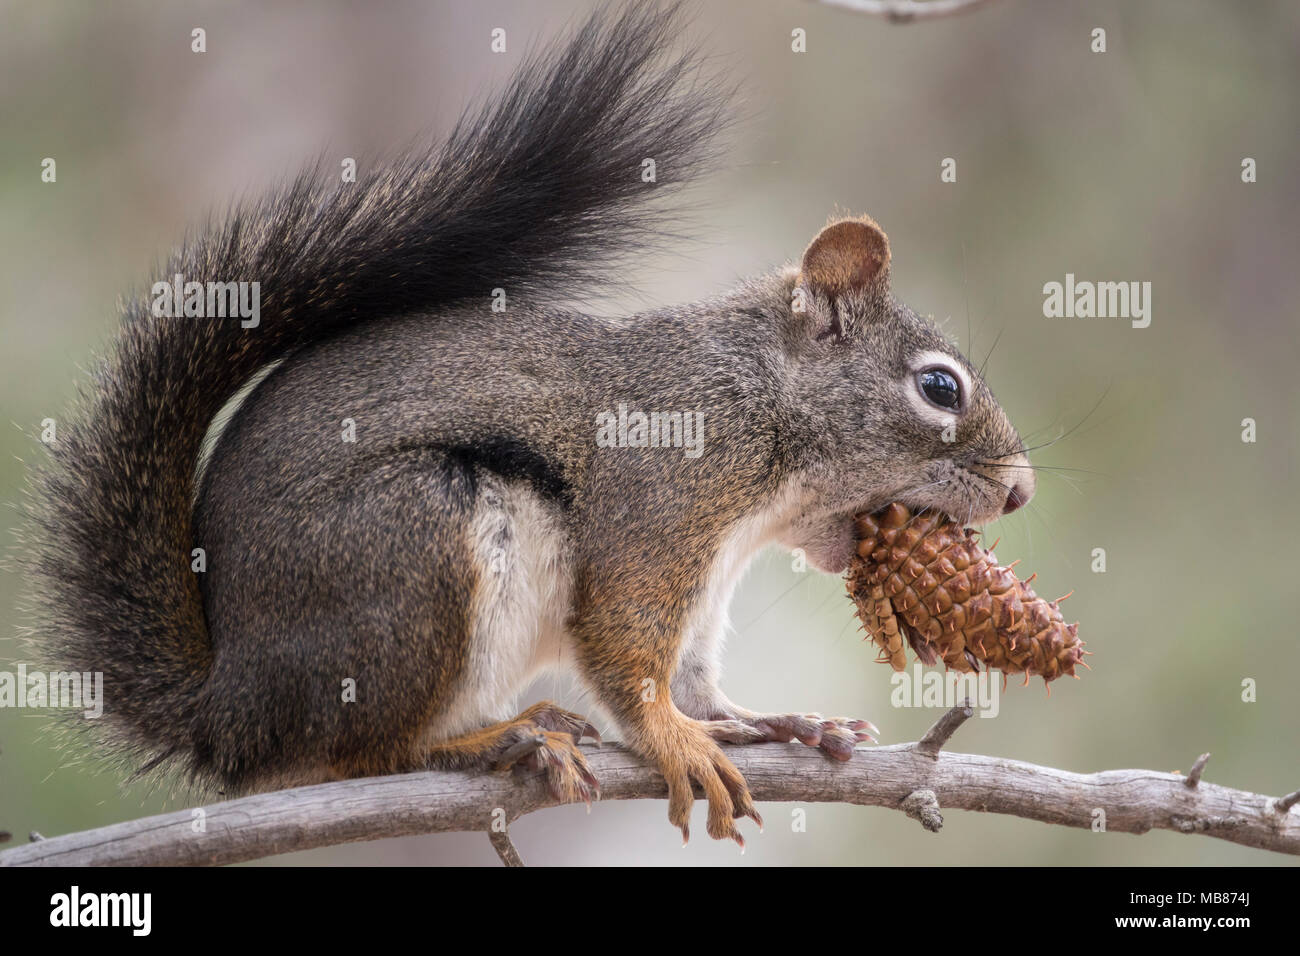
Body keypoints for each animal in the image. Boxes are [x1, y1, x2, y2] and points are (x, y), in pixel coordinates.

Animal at [23, 4, 1034, 846]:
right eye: (939, 388)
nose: (1021, 491)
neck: (758, 406)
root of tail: (231, 706)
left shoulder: (707, 585)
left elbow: (698, 679)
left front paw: (775, 722)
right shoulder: (659, 506)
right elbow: (627, 650)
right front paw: (676, 741)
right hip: (412, 544)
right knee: (350, 752)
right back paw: (494, 744)